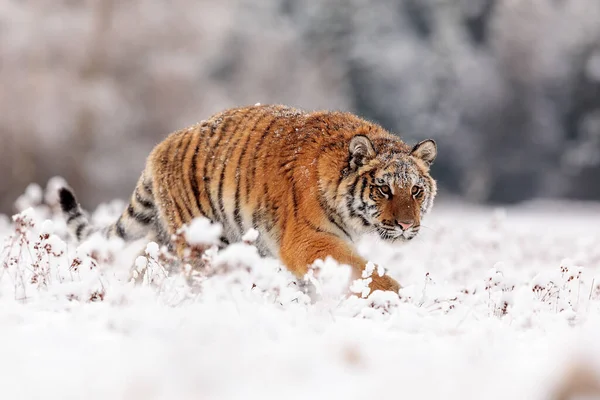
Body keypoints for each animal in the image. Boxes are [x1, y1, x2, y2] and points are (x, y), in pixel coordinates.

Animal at [59, 104, 436, 294]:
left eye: (415, 190)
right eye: (384, 189)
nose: (407, 225)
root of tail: (160, 148)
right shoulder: (310, 240)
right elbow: (367, 274)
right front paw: (401, 299)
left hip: (170, 238)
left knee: (143, 261)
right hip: (201, 240)